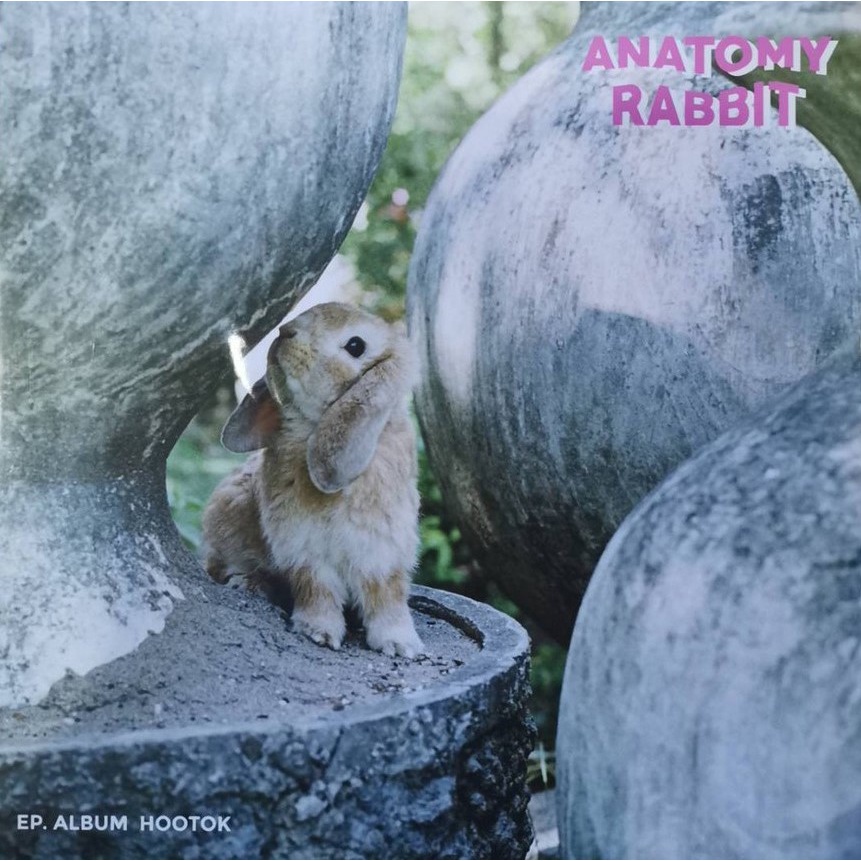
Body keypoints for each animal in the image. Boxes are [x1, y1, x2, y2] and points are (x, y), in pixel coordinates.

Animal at [201, 302, 424, 658]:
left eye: (356, 346)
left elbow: (386, 596)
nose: (285, 332)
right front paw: (318, 632)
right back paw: (249, 583)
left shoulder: (382, 551)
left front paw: (400, 644)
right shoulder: (305, 551)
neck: (314, 428)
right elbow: (316, 590)